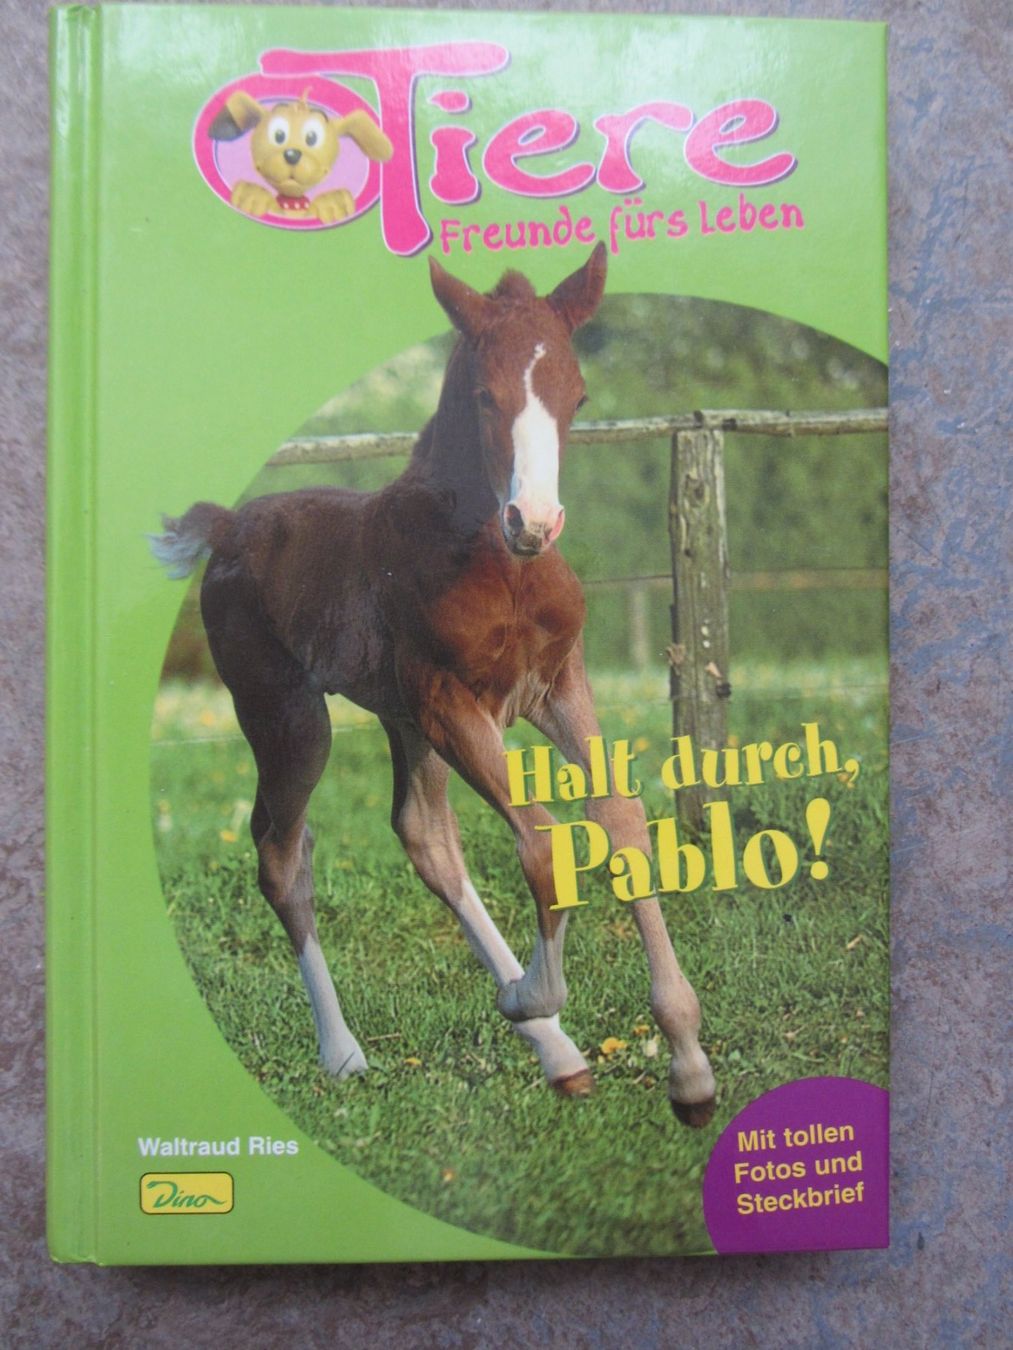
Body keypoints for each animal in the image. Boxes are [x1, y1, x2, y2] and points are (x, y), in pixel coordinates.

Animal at [150, 245, 716, 1126]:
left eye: (577, 397)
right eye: (485, 395)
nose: (534, 522)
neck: (495, 562)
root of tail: (230, 524)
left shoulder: (556, 687)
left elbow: (620, 822)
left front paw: (689, 1066)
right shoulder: (454, 703)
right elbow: (544, 840)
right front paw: (528, 996)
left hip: (401, 719)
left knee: (424, 839)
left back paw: (557, 1054)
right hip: (291, 717)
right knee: (282, 856)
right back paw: (348, 1052)